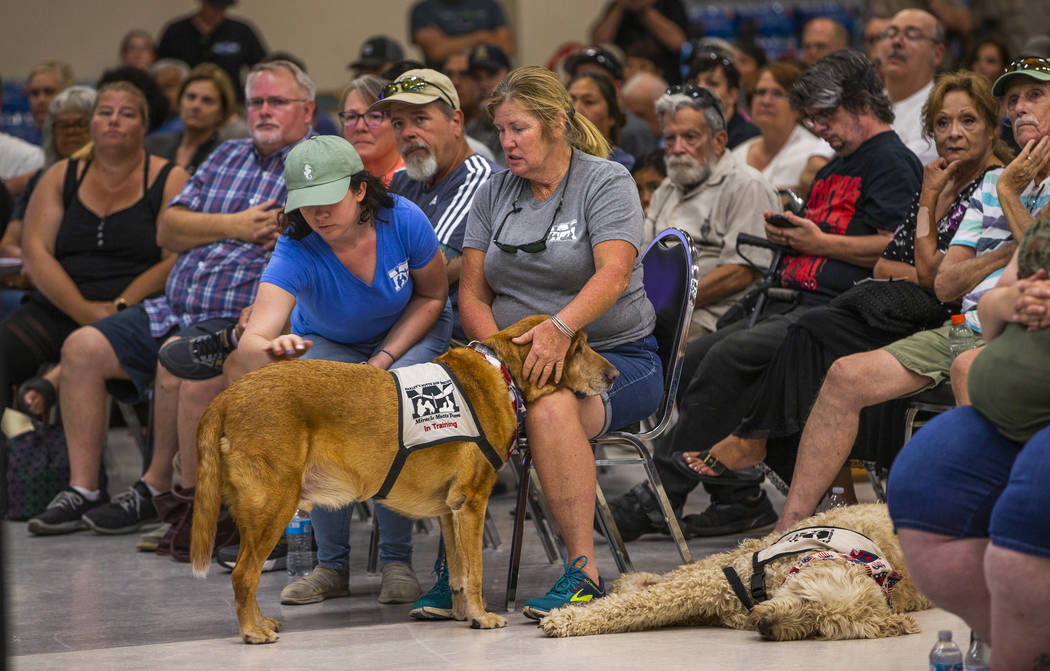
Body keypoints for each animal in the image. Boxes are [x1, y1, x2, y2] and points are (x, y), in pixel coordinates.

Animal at [188, 317, 617, 646]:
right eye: (578, 348)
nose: (613, 375)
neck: (502, 374)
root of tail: (226, 396)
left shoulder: (450, 510)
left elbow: (459, 573)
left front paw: (462, 614)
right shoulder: (472, 502)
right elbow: (476, 572)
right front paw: (482, 617)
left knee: (248, 574)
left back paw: (260, 622)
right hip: (273, 505)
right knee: (245, 574)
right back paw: (252, 632)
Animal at [537, 504, 932, 638]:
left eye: (818, 629)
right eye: (806, 600)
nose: (768, 627)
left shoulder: (710, 603)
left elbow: (644, 608)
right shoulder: (719, 578)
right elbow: (642, 602)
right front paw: (565, 618)